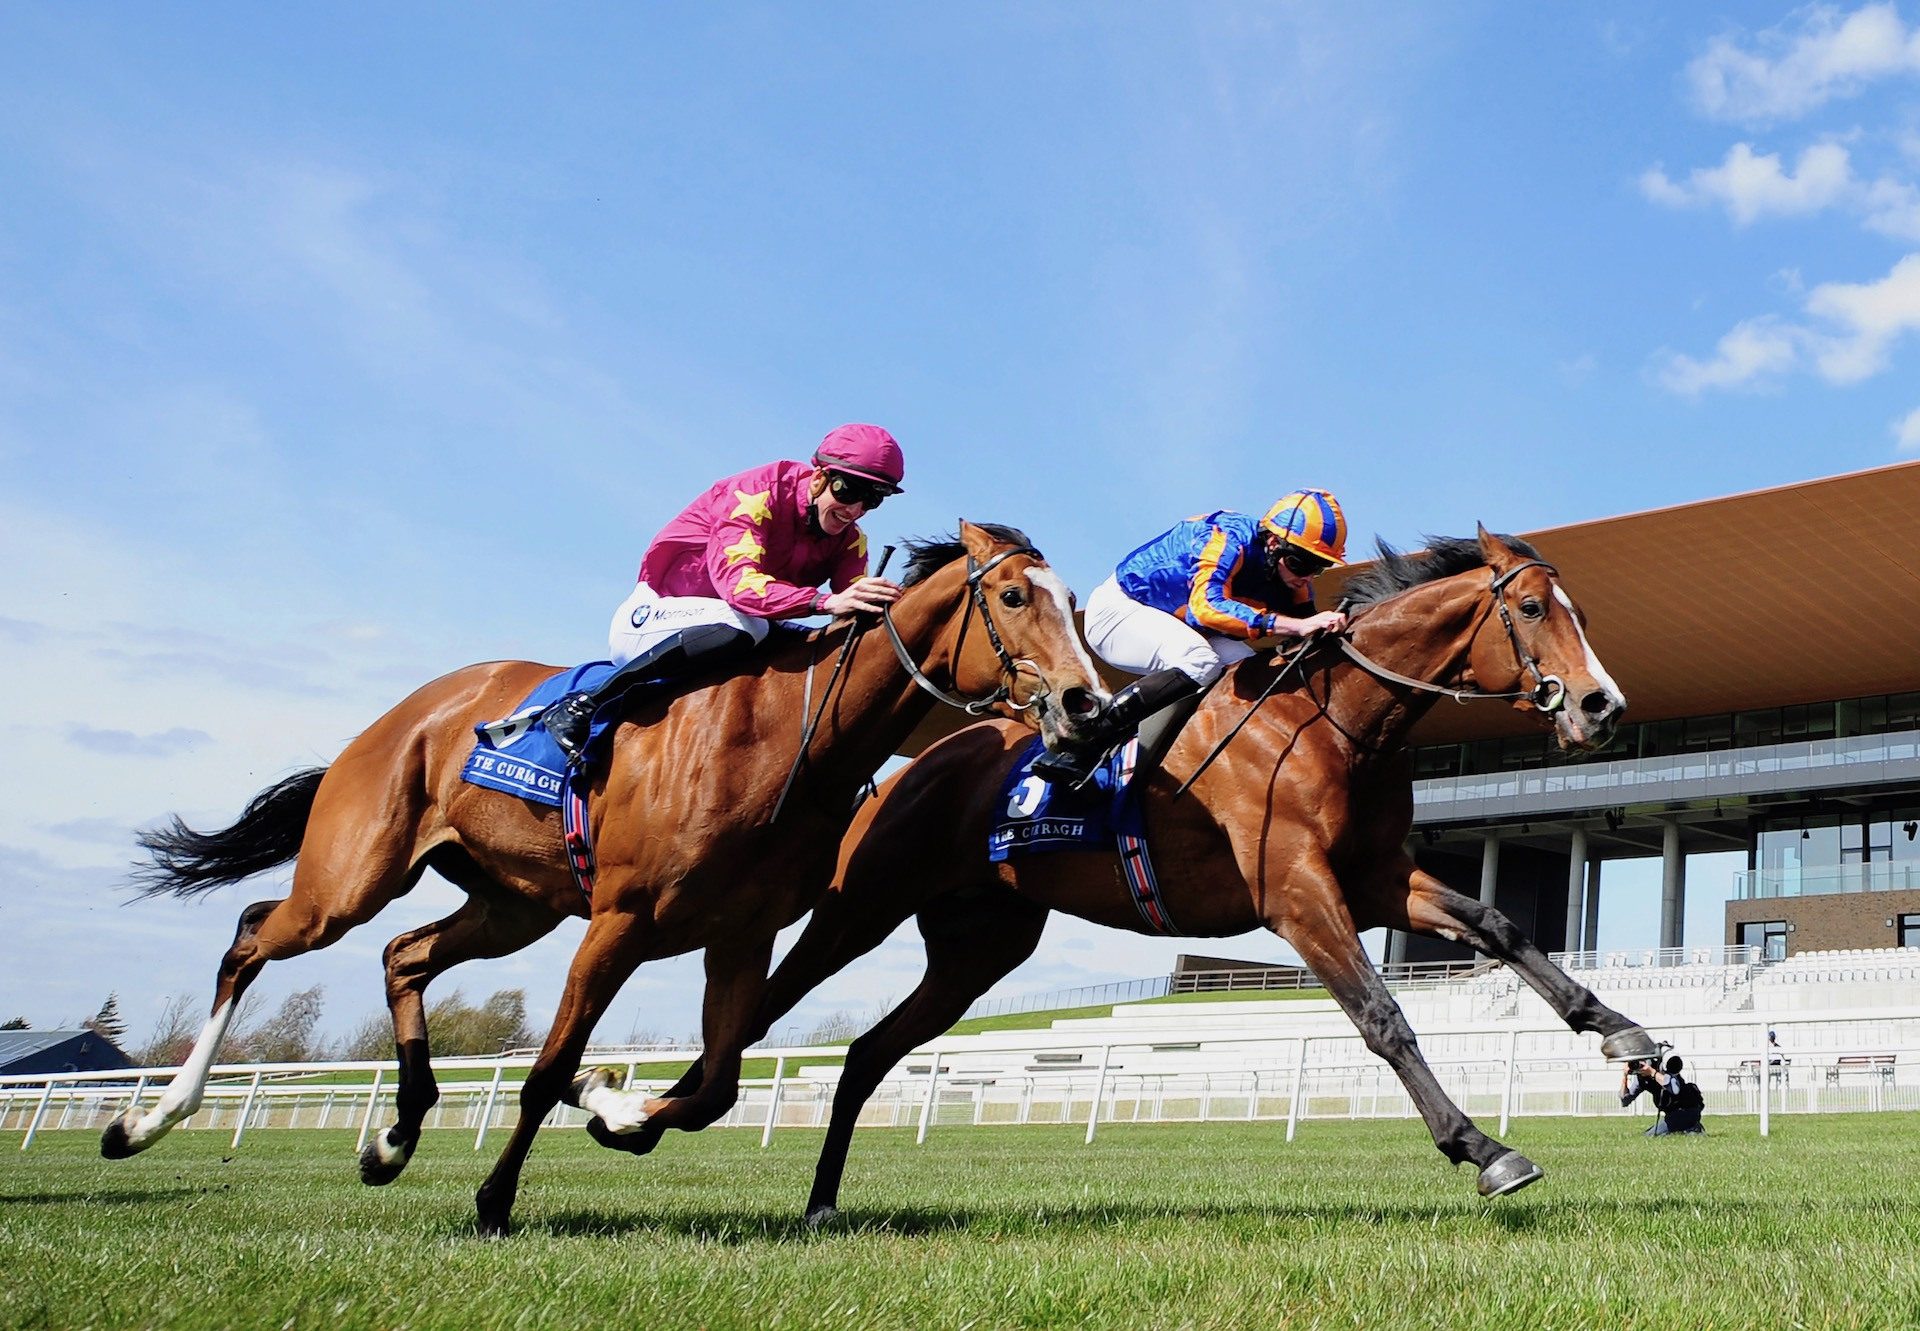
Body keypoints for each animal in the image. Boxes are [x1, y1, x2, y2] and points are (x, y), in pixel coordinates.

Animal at [101, 518, 1113, 1236]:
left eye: (1074, 605)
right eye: (1014, 594)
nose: (1088, 704)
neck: (788, 740)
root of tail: (403, 715)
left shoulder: (739, 933)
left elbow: (716, 1086)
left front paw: (616, 1102)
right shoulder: (619, 920)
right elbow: (548, 1069)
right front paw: (497, 1198)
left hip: (511, 906)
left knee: (403, 955)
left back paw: (394, 1135)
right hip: (350, 878)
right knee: (253, 936)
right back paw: (144, 1122)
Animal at [660, 526, 1666, 1213]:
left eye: (1578, 614)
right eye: (1532, 610)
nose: (1602, 705)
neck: (1336, 719)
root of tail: (916, 762)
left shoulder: (1377, 877)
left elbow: (1502, 926)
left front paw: (1628, 1037)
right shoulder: (1296, 890)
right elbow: (1383, 1017)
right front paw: (1482, 1147)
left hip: (978, 945)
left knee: (868, 1051)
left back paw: (821, 1198)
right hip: (862, 905)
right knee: (766, 1002)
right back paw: (654, 1109)